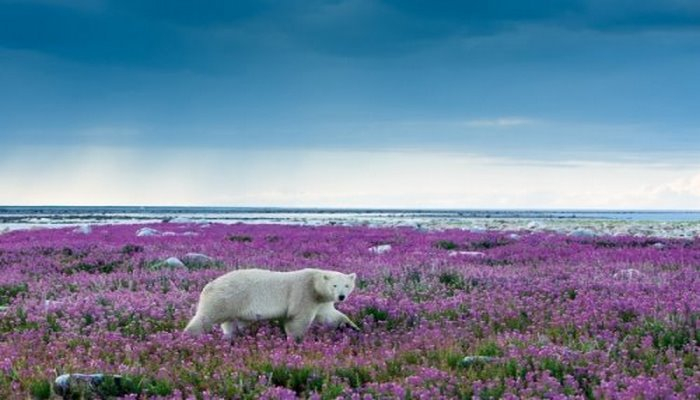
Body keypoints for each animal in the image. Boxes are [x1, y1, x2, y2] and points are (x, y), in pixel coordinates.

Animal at [183, 268, 358, 340]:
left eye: (346, 285)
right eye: (334, 285)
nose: (341, 296)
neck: (315, 286)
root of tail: (208, 285)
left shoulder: (321, 301)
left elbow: (331, 315)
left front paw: (352, 327)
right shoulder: (304, 293)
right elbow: (298, 320)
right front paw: (296, 340)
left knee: (230, 325)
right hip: (225, 299)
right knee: (205, 318)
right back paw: (189, 335)